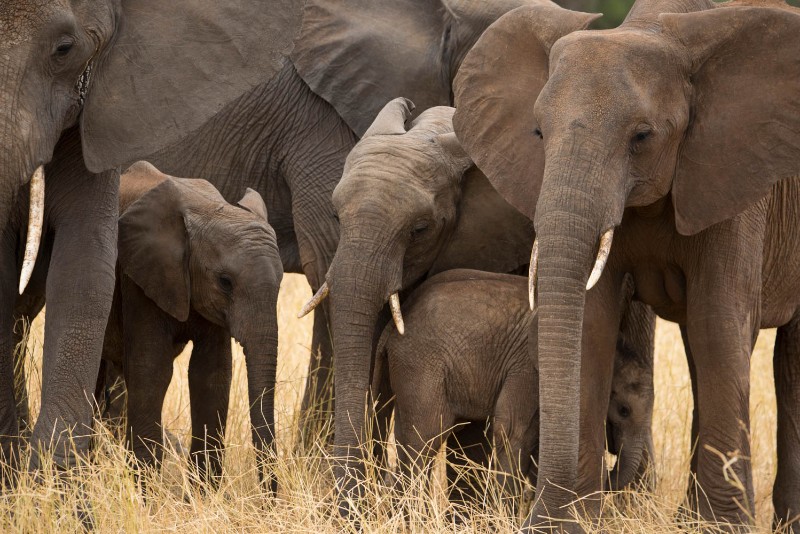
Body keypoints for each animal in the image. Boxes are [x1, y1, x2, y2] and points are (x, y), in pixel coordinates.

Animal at [373, 269, 655, 512]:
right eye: (623, 410)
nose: (608, 474)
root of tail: (393, 326)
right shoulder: (529, 369)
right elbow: (512, 431)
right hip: (421, 367)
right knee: (423, 439)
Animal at [453, 0, 800, 529]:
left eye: (642, 136)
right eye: (538, 133)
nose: (537, 516)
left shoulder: (735, 177)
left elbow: (719, 321)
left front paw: (721, 528)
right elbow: (592, 321)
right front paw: (569, 522)